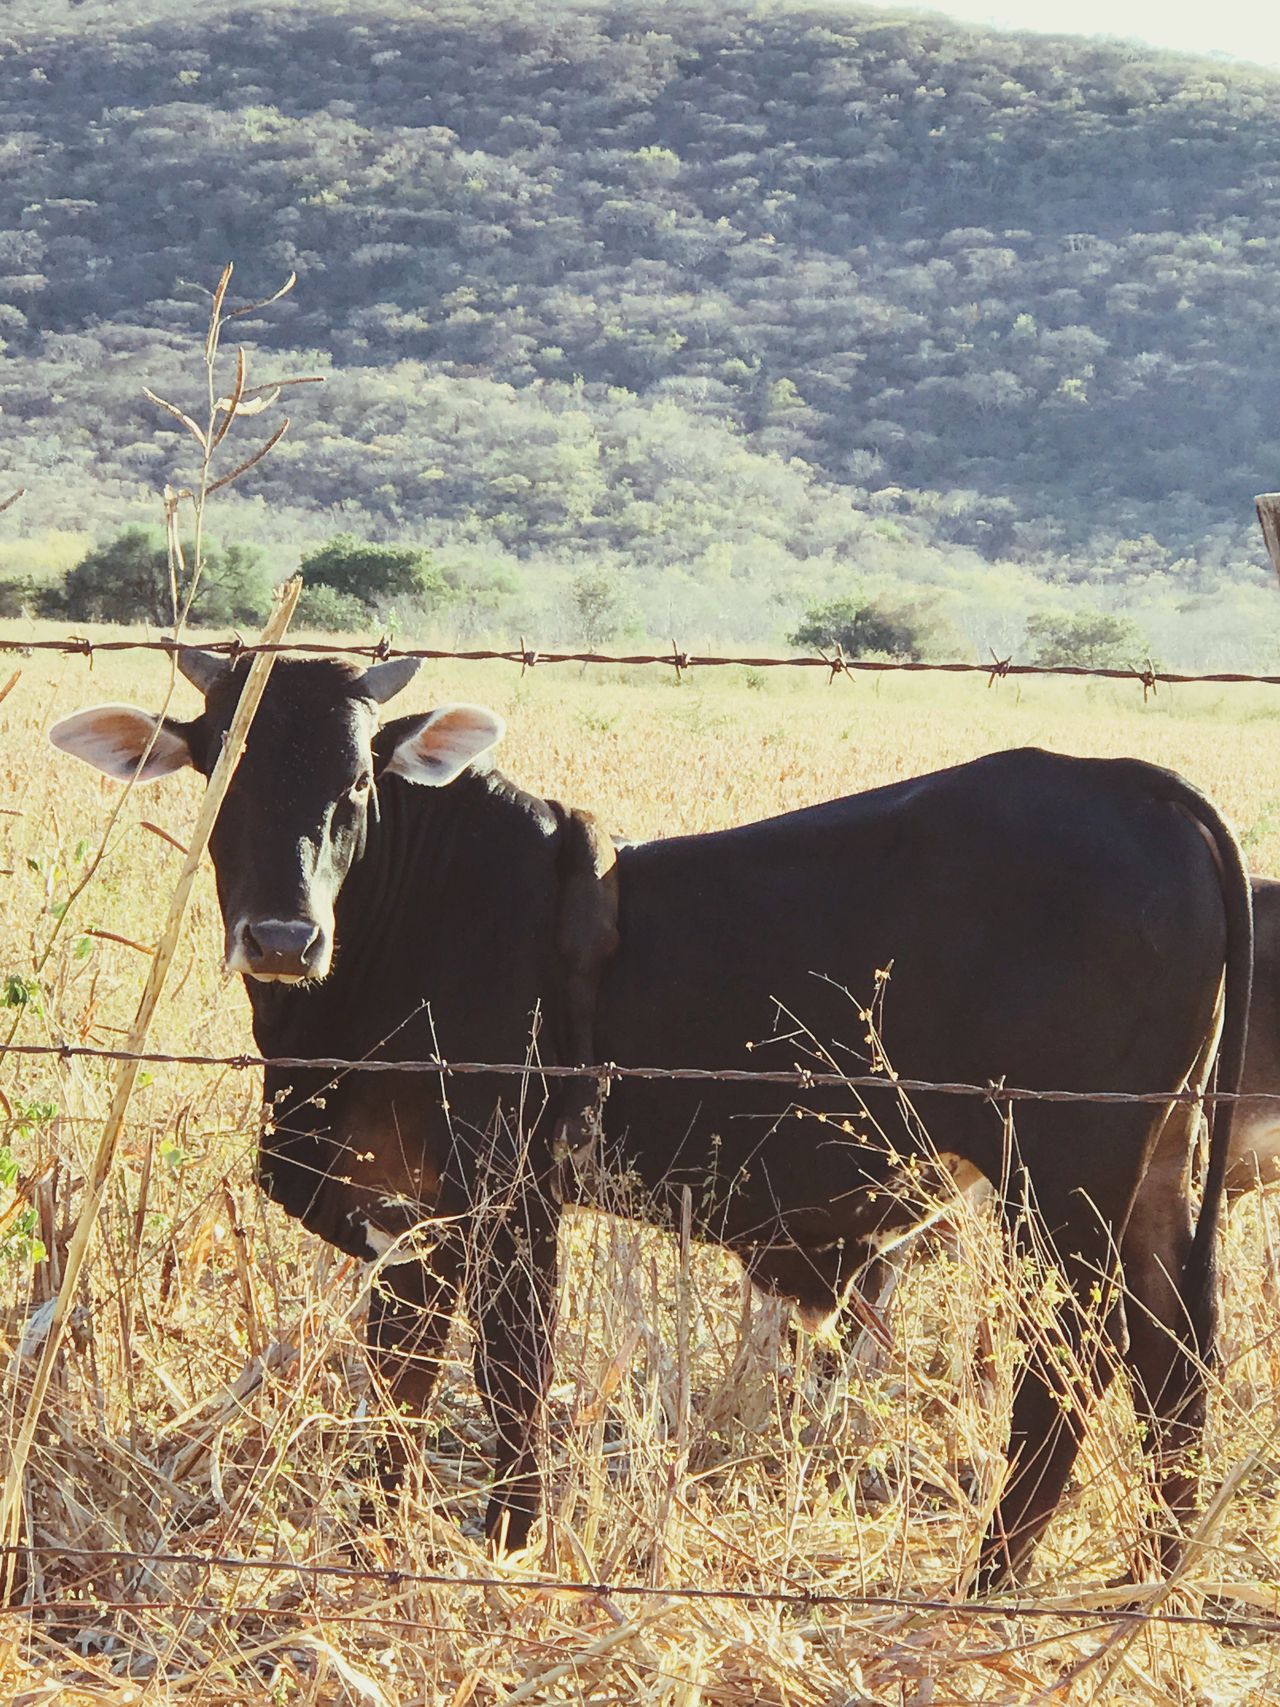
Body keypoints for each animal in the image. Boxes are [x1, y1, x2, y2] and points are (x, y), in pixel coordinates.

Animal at [52, 652, 1256, 1584]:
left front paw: (511, 1542)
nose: (281, 937)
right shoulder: (413, 1193)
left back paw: (992, 1579)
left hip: (1061, 1177)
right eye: (220, 770)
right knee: (1173, 1360)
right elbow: (399, 1369)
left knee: (1072, 1366)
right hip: (1151, 1174)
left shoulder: (510, 1192)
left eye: (357, 784)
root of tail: (1142, 788)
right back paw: (1149, 1573)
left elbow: (511, 1369)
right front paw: (375, 1534)